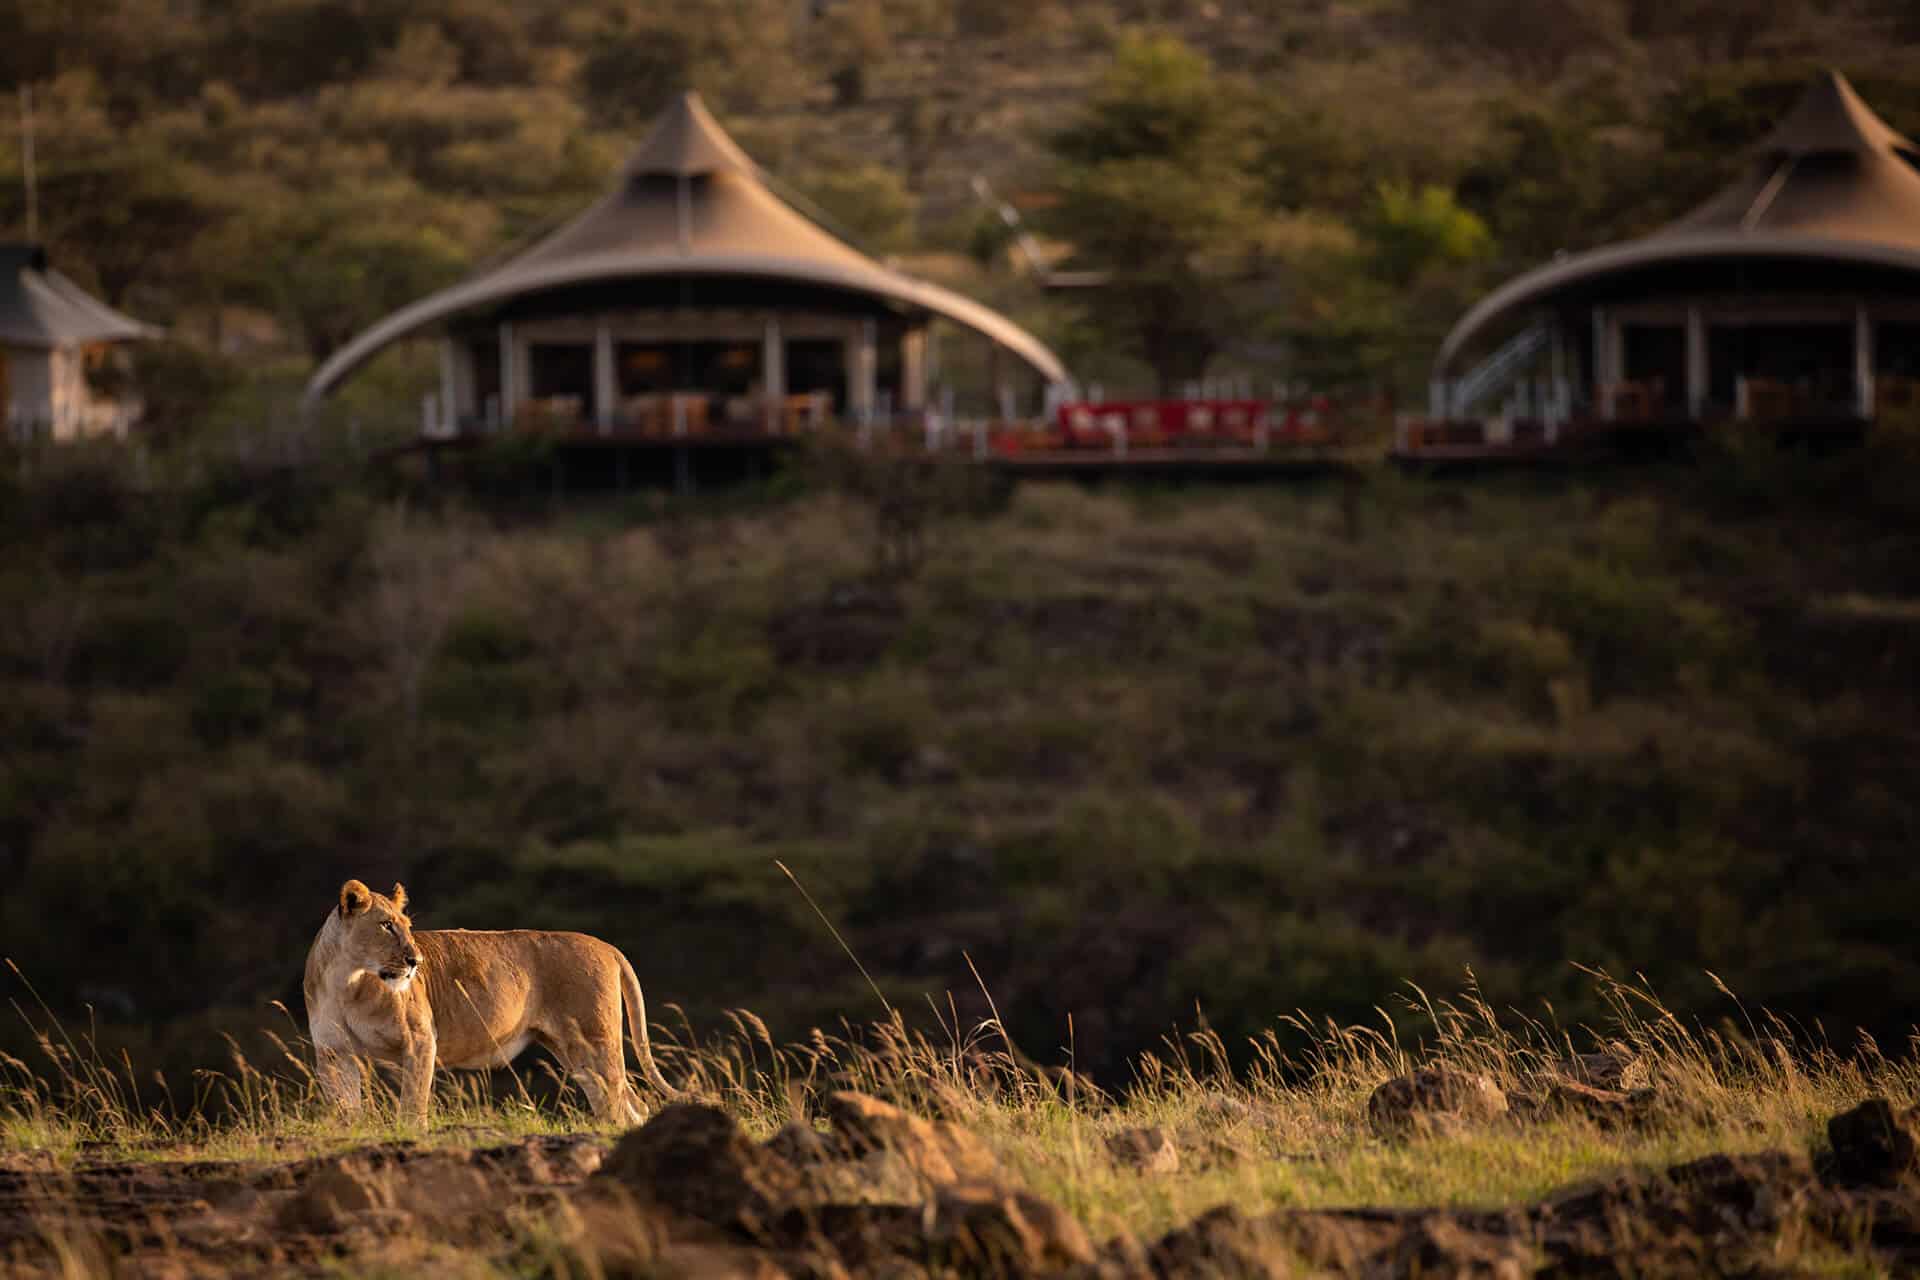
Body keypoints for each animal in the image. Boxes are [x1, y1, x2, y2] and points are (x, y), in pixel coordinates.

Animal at [303, 879, 679, 1125]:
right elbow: (345, 1109)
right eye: (385, 925)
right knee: (623, 1104)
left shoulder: (420, 1040)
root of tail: (608, 946)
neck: (348, 981)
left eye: (407, 927)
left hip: (594, 1041)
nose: (416, 961)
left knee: (623, 1105)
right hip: (574, 1052)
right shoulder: (334, 1052)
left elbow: (412, 1106)